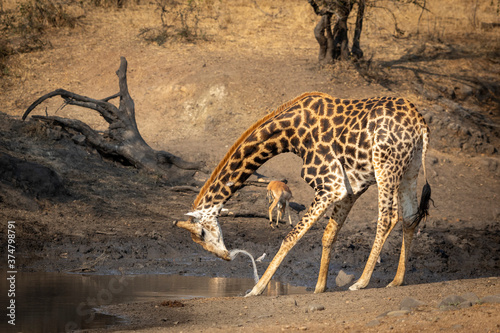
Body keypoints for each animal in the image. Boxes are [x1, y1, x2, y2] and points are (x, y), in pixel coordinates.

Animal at [175, 91, 430, 296]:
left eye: (201, 234)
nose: (226, 257)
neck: (290, 135)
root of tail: (420, 124)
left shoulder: (331, 185)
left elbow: (291, 236)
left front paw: (256, 289)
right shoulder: (350, 188)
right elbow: (328, 234)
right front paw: (319, 287)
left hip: (385, 165)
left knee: (388, 216)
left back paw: (361, 282)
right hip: (410, 167)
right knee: (409, 216)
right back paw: (397, 280)